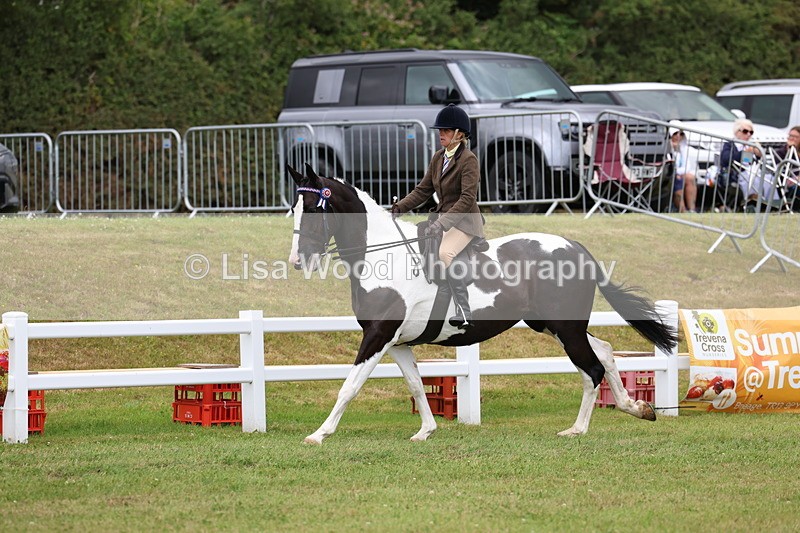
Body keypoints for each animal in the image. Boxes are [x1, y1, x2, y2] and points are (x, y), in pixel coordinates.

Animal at [287, 163, 677, 444]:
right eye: (293, 209)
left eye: (314, 209)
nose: (297, 261)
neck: (382, 256)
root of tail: (577, 248)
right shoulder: (397, 342)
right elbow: (416, 385)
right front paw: (425, 431)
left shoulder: (378, 336)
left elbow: (350, 386)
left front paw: (319, 434)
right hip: (554, 325)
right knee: (606, 352)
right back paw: (636, 408)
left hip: (565, 328)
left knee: (592, 369)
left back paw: (577, 430)